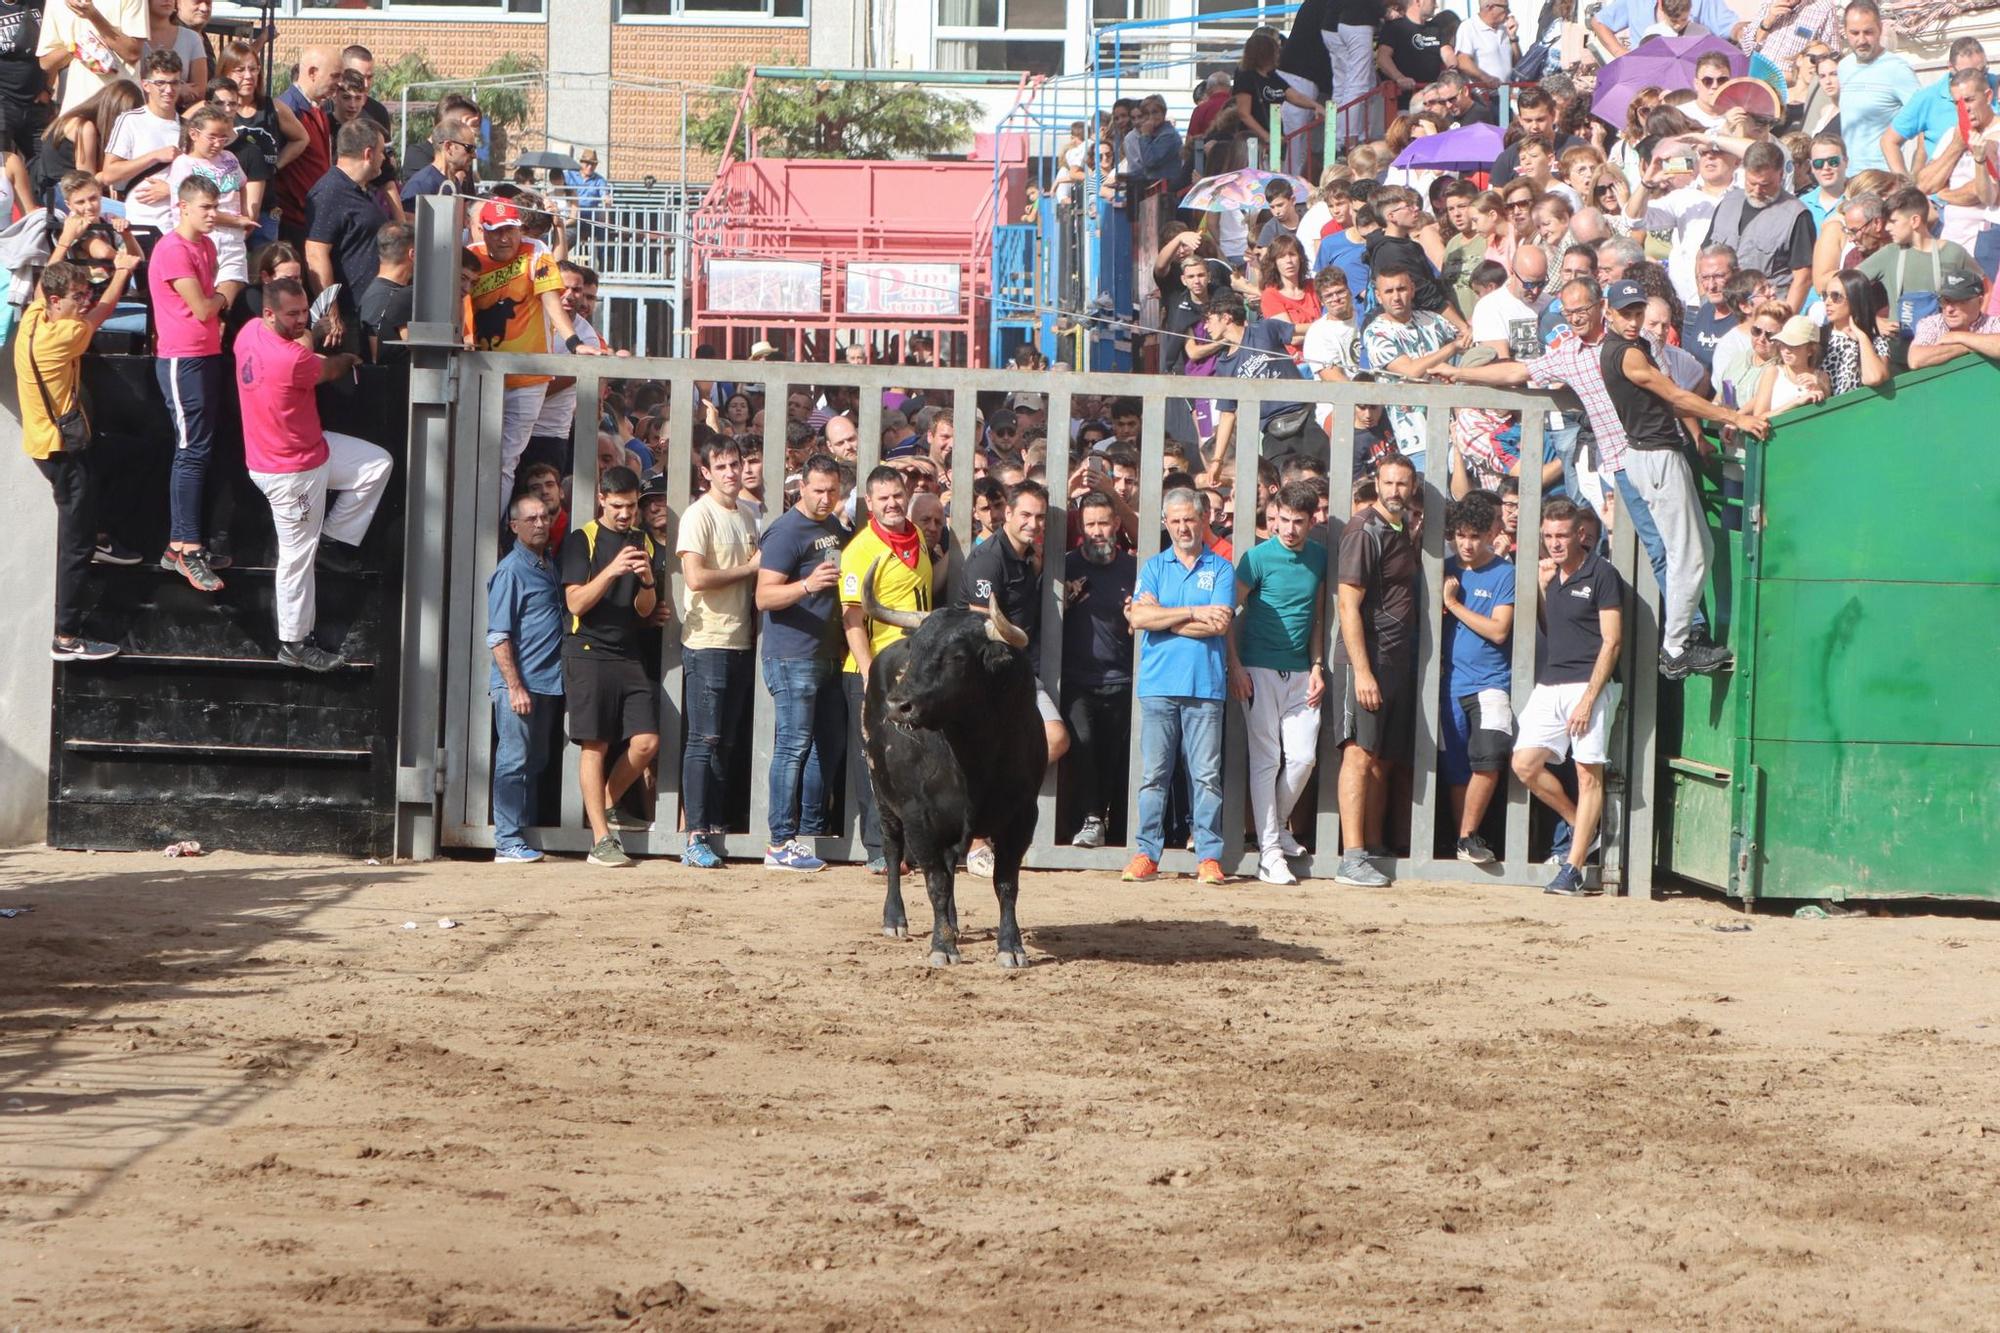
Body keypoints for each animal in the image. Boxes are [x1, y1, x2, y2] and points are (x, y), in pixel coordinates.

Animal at [860, 560, 1048, 964]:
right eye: (915, 651)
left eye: (958, 657)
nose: (898, 705)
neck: (972, 756)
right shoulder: (918, 817)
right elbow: (935, 883)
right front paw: (942, 947)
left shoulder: (1022, 816)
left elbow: (1005, 883)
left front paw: (1011, 947)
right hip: (882, 797)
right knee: (892, 849)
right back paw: (895, 920)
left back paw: (954, 922)